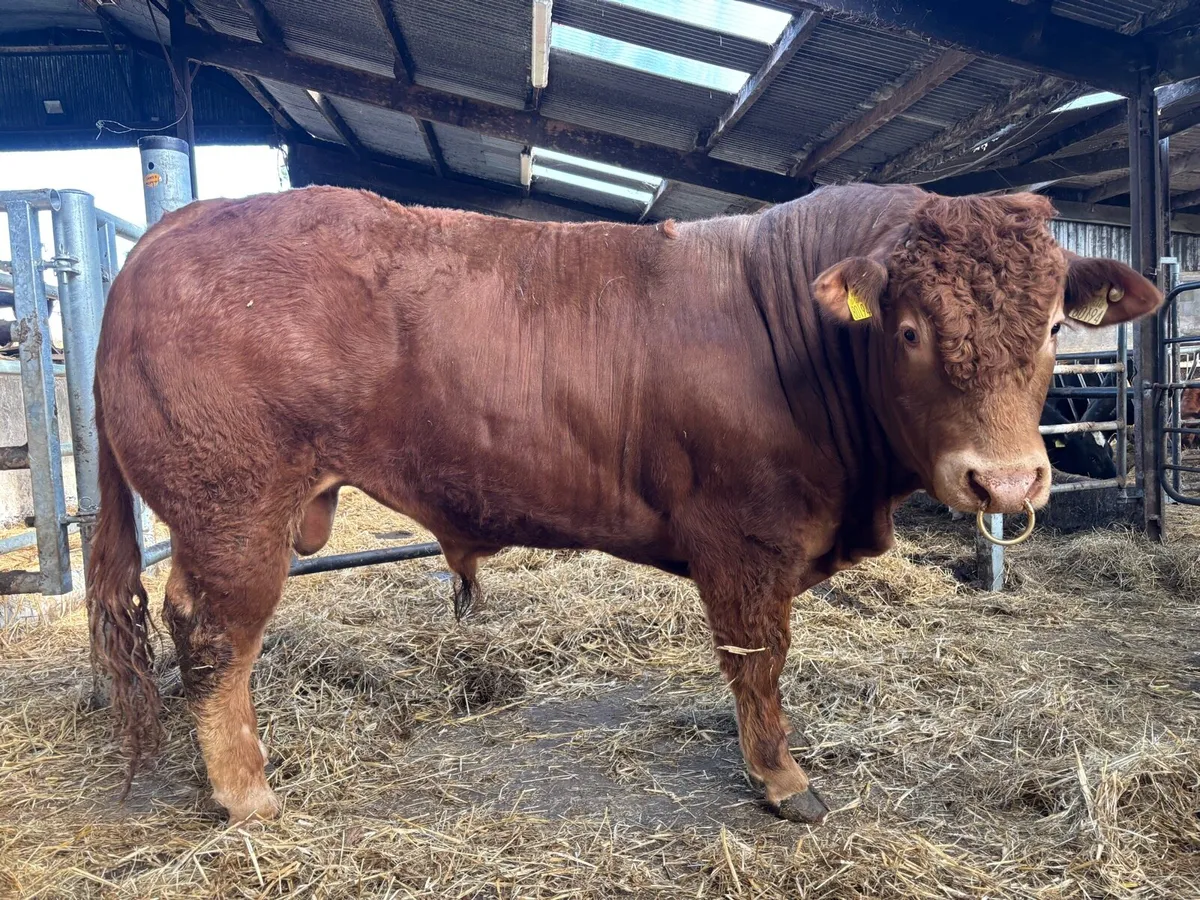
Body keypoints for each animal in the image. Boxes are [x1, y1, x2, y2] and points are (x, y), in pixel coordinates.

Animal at [87, 184, 1162, 826]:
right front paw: (782, 782)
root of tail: (183, 222)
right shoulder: (746, 538)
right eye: (907, 329)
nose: (1008, 484)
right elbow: (758, 663)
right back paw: (247, 796)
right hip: (236, 511)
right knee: (216, 636)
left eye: (1056, 325)